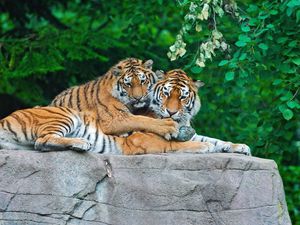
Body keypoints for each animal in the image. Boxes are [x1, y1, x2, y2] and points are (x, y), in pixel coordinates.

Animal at [50, 57, 178, 140]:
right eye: (128, 84)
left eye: (142, 81)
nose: (138, 98)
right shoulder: (115, 118)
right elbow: (141, 120)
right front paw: (168, 127)